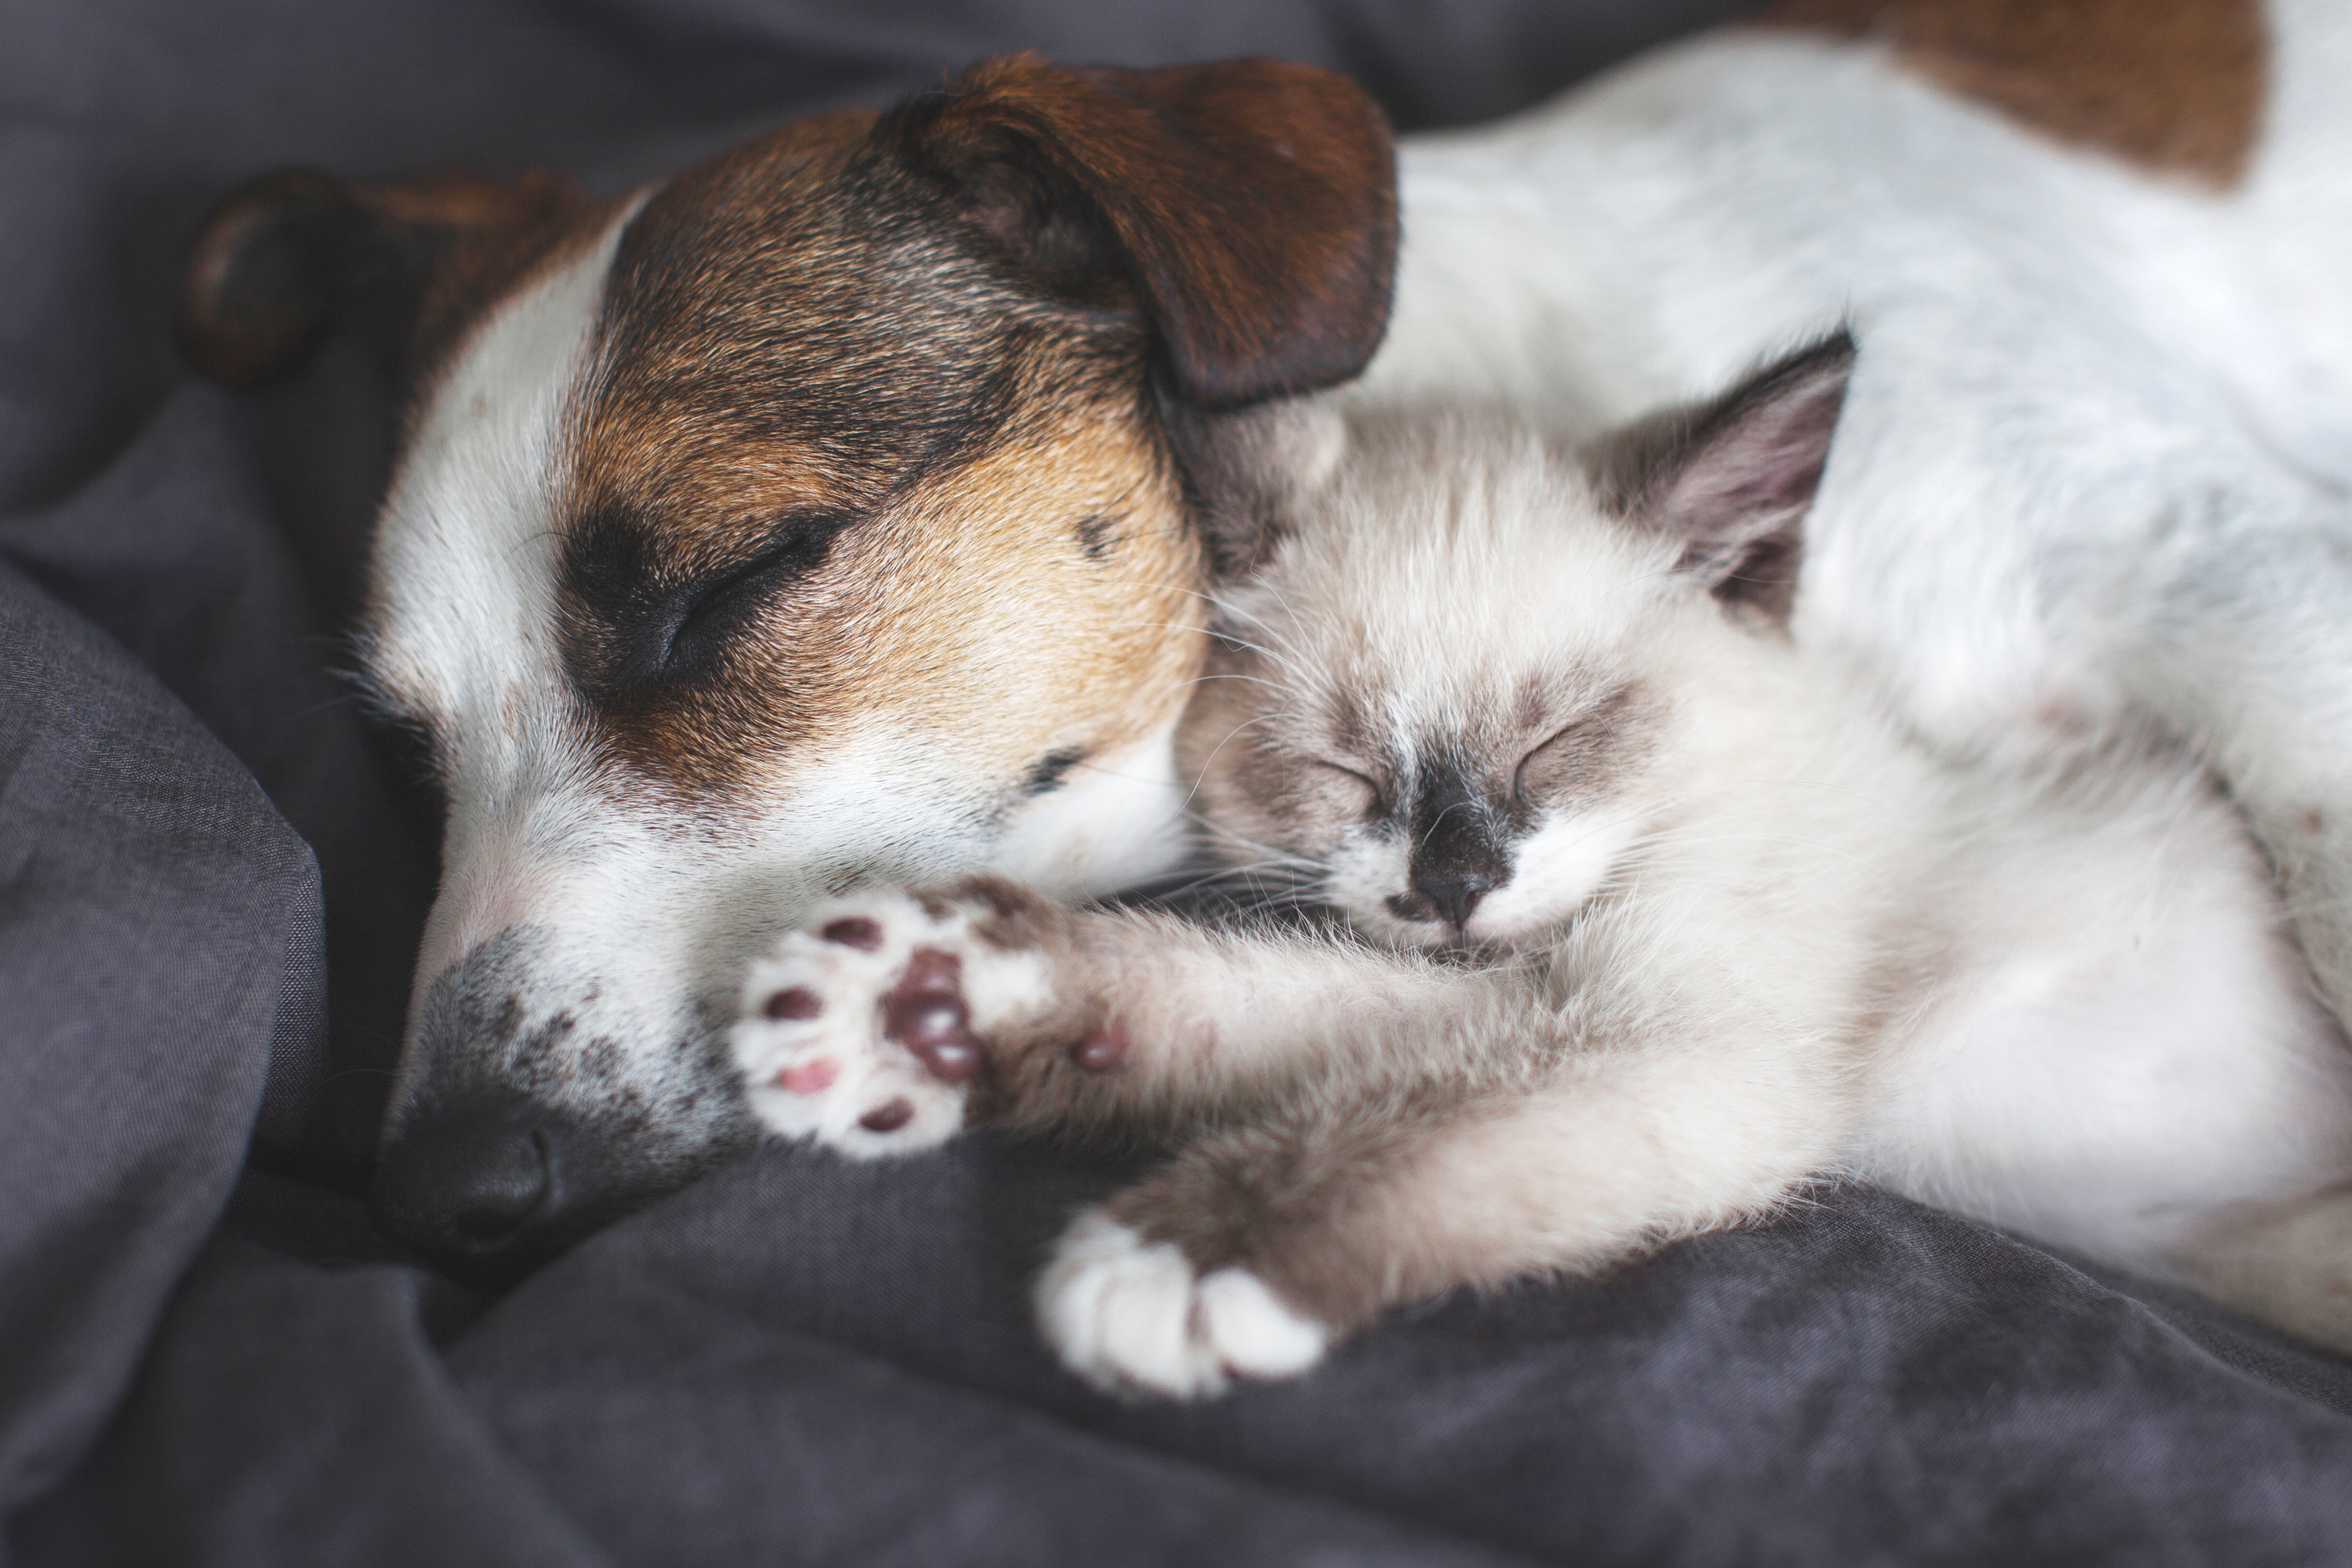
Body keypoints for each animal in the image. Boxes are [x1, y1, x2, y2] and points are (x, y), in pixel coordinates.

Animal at [715, 340, 2352, 1401]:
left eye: (1558, 741)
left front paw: (1182, 1263)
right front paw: (923, 1003)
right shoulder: (1527, 1000)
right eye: (1340, 768)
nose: (1452, 884)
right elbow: (1251, 1012)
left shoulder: (1689, 1050)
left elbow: (1425, 1135)